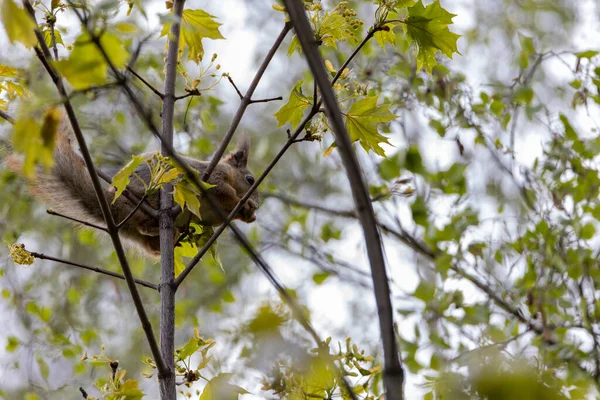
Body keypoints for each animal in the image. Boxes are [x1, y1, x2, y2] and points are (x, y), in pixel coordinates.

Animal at [5, 119, 260, 256]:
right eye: (250, 180)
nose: (257, 205)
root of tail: (113, 207)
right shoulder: (212, 178)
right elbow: (222, 193)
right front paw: (243, 203)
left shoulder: (209, 214)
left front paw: (247, 214)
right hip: (150, 195)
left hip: (135, 233)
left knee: (148, 243)